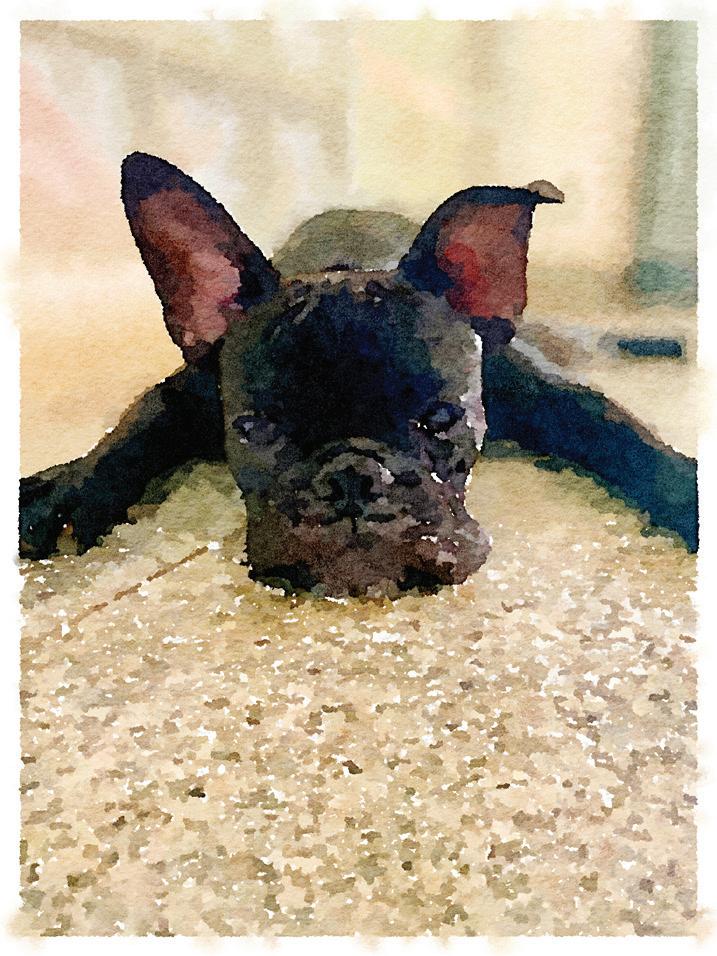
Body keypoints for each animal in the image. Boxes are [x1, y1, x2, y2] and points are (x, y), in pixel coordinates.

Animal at [19, 153, 562, 596]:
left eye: (443, 419)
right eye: (253, 429)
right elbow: (134, 426)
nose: (352, 479)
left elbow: (584, 413)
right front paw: (70, 493)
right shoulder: (187, 390)